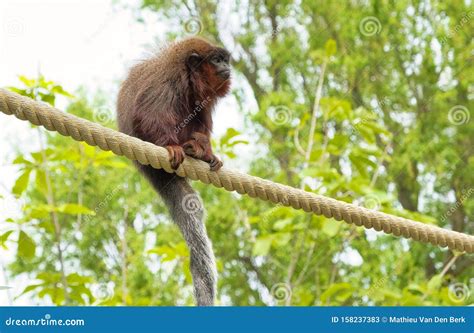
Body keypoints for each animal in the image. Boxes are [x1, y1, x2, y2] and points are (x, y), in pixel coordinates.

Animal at [116, 37, 231, 304]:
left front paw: (205, 151)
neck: (190, 77)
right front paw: (170, 145)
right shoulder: (169, 80)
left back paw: (195, 151)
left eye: (225, 60)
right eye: (217, 60)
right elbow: (147, 112)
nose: (227, 67)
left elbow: (202, 121)